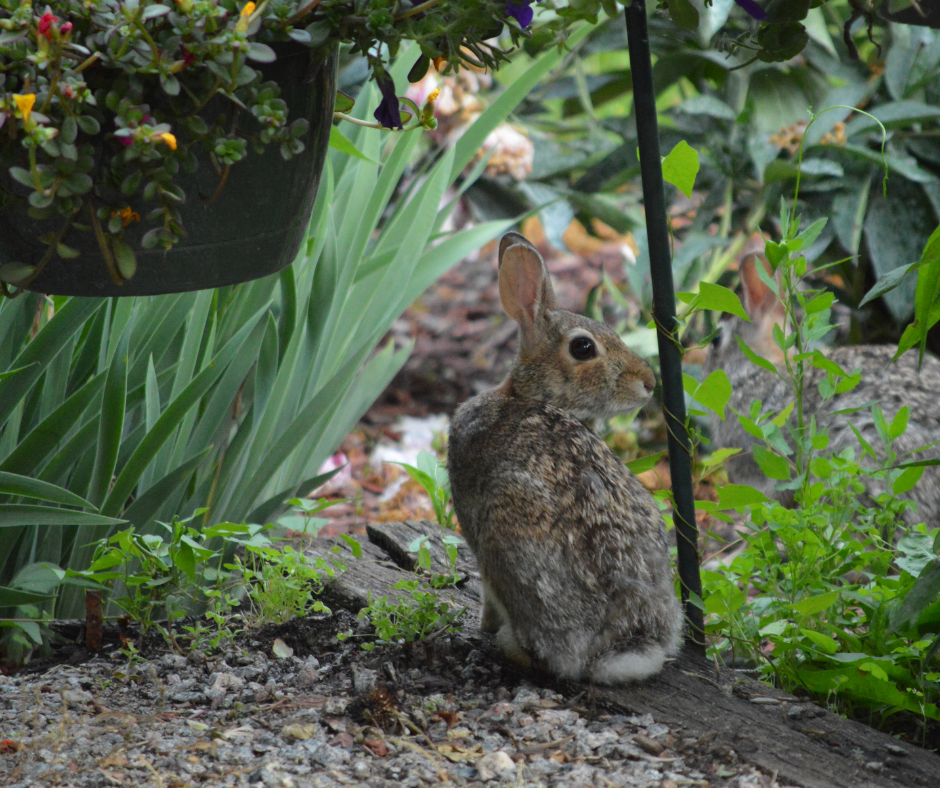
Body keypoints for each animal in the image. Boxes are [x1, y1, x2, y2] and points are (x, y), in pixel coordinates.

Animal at [447, 232, 683, 684]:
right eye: (583, 347)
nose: (648, 382)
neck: (526, 394)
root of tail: (615, 646)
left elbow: (485, 595)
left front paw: (482, 624)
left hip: (503, 538)